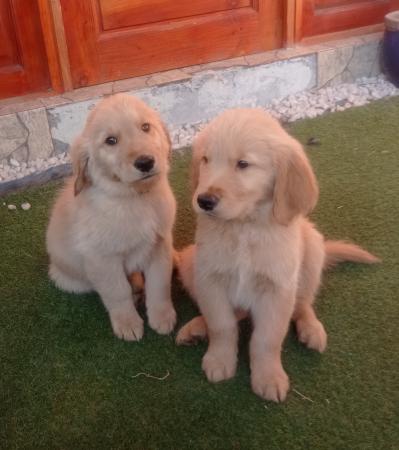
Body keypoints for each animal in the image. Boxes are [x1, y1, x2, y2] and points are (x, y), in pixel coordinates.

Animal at [46, 94, 177, 342]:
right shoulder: (102, 259)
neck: (135, 198)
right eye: (111, 141)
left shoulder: (160, 244)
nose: (145, 162)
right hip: (70, 278)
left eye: (146, 127)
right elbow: (118, 291)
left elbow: (160, 283)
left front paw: (162, 315)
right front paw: (128, 323)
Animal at [177, 108, 380, 400]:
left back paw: (311, 328)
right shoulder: (210, 279)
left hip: (312, 247)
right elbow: (222, 325)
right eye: (205, 160)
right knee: (237, 314)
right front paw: (219, 359)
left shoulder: (278, 289)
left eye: (243, 164)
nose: (204, 200)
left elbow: (267, 339)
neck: (245, 227)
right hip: (188, 260)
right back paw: (197, 327)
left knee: (302, 303)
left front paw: (269, 377)